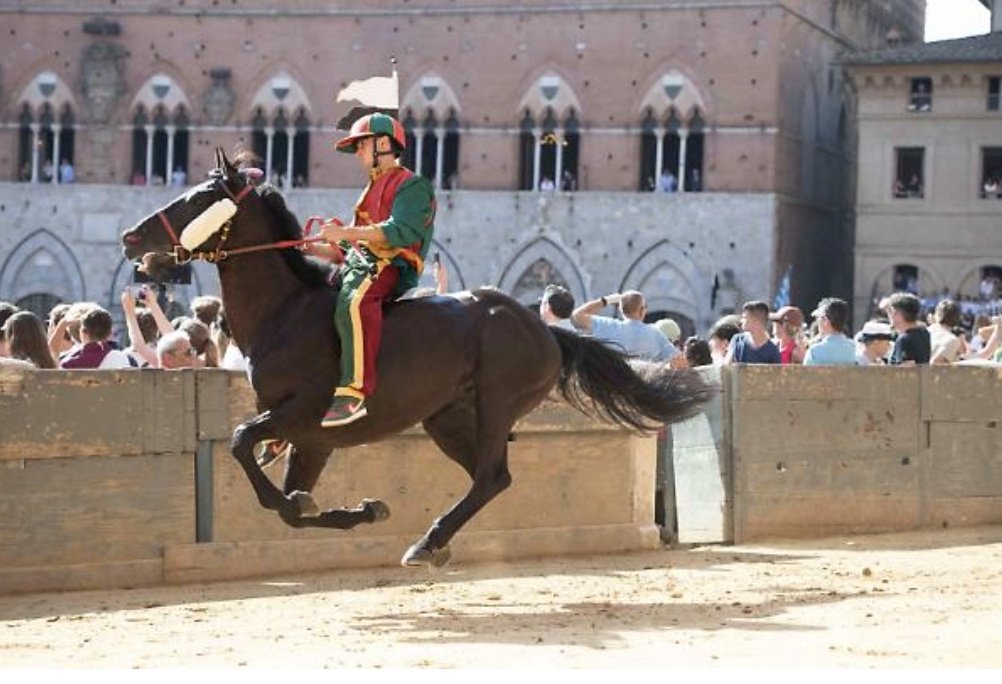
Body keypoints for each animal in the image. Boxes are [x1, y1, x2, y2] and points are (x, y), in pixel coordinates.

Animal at [120, 148, 715, 569]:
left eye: (198, 198)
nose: (131, 236)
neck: (286, 313)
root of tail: (542, 328)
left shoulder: (302, 412)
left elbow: (245, 444)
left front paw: (329, 506)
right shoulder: (311, 437)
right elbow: (287, 503)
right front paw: (357, 510)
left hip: (496, 404)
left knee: (491, 476)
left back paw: (428, 542)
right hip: (446, 418)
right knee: (487, 479)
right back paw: (434, 541)